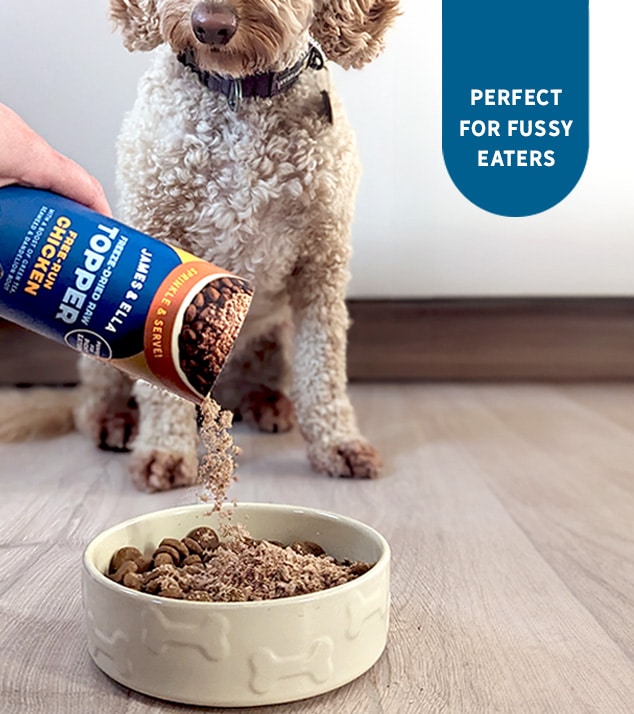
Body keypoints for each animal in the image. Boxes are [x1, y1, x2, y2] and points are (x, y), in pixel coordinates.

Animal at [11, 0, 396, 490]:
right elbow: (155, 386)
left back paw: (268, 404)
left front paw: (337, 444)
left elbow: (323, 370)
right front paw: (165, 451)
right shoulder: (157, 229)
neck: (239, 94)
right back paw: (115, 422)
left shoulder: (321, 263)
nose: (211, 26)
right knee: (89, 404)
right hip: (95, 349)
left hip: (278, 331)